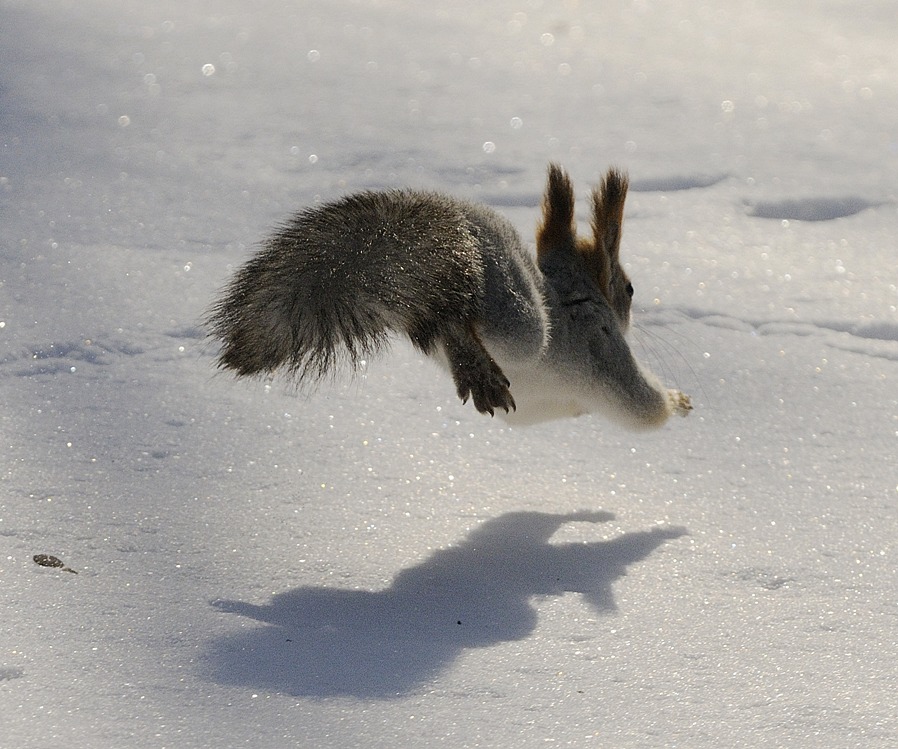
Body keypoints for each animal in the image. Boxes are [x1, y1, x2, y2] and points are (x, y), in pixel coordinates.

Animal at [206, 163, 688, 426]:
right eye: (630, 288)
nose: (631, 308)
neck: (576, 291)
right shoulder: (602, 342)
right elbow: (641, 405)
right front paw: (676, 402)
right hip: (518, 320)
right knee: (457, 317)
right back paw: (475, 366)